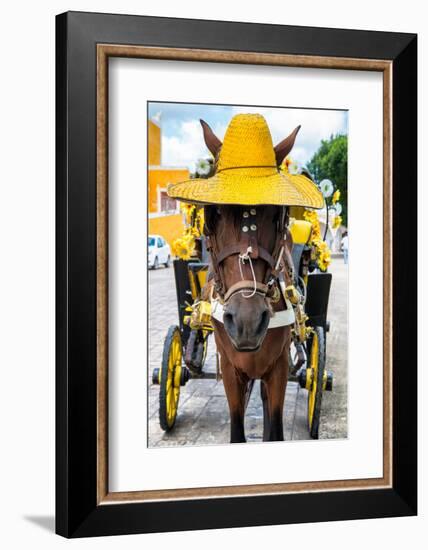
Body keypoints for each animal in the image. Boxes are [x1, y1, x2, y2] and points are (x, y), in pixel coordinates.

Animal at [201, 119, 300, 444]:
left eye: (276, 213)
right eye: (213, 212)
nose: (247, 321)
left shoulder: (278, 367)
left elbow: (276, 428)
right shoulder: (230, 369)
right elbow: (237, 430)